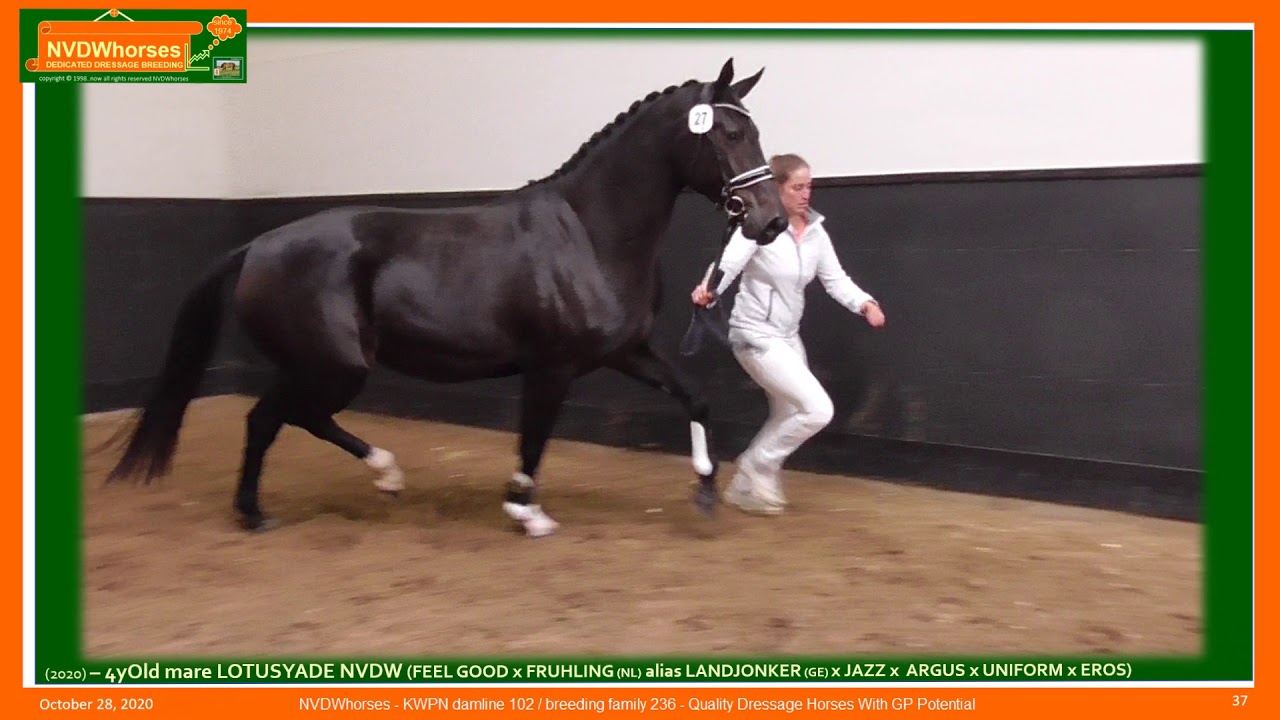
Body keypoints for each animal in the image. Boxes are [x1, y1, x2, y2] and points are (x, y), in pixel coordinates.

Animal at [105, 58, 787, 537]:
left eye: (753, 130)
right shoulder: (552, 367)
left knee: (293, 418)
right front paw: (525, 511)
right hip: (333, 366)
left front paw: (705, 490)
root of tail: (256, 246)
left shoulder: (627, 352)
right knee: (272, 418)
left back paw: (378, 476)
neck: (589, 234)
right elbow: (533, 438)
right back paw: (263, 510)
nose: (771, 221)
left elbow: (694, 395)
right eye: (728, 133)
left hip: (320, 367)